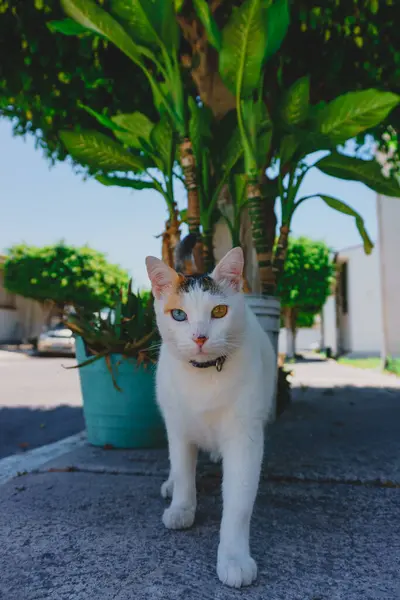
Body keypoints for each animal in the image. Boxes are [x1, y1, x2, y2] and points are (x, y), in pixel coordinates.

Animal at [145, 246, 276, 588]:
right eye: (179, 315)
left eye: (218, 311)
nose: (200, 337)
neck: (204, 375)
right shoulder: (177, 428)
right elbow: (183, 471)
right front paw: (181, 507)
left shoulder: (245, 439)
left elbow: (238, 504)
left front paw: (234, 558)